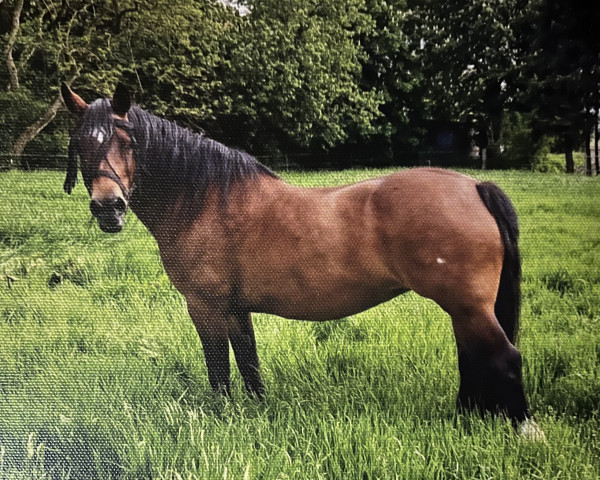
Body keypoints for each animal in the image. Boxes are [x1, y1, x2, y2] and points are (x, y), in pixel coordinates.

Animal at [62, 82, 536, 428]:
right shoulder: (235, 309)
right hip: (463, 308)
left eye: (128, 141)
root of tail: (474, 186)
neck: (203, 199)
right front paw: (256, 411)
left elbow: (219, 370)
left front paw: (221, 416)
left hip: (468, 306)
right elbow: (248, 362)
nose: (108, 208)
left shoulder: (205, 307)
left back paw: (523, 429)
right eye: (81, 142)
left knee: (505, 358)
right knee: (473, 356)